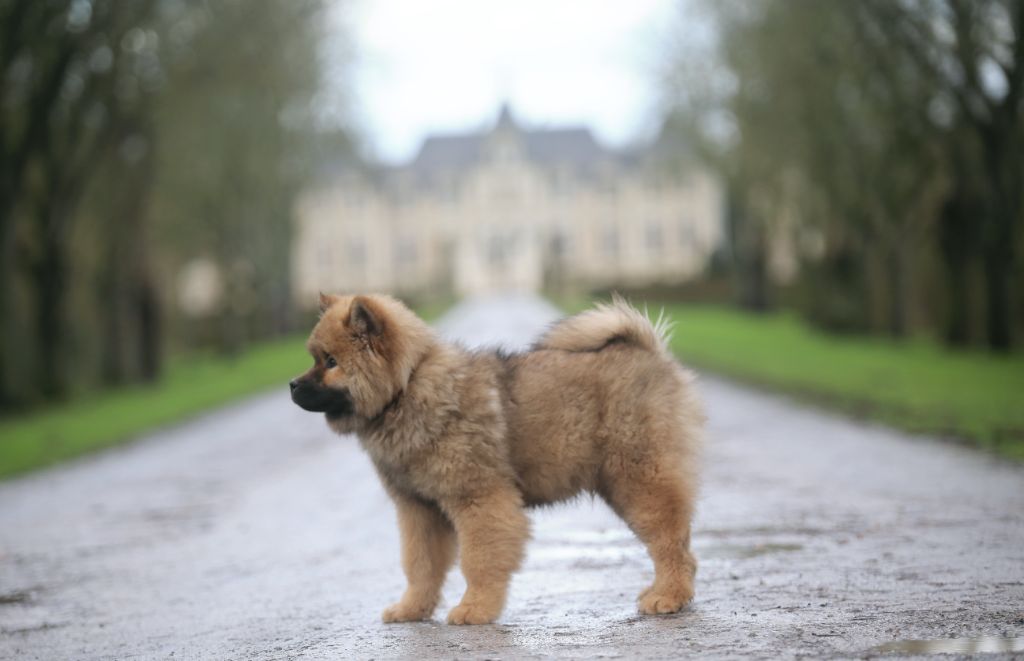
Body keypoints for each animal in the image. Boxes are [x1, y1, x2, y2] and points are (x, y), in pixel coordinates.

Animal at [290, 294, 704, 626]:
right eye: (315, 359)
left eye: (330, 361)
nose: (293, 385)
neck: (406, 389)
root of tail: (647, 350)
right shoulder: (419, 509)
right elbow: (420, 566)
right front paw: (411, 610)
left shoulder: (479, 499)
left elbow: (479, 560)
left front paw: (474, 610)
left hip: (639, 477)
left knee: (670, 541)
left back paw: (667, 596)